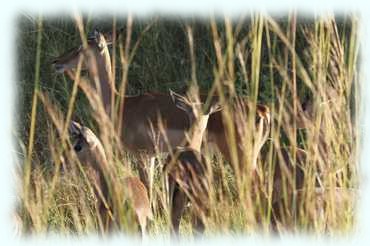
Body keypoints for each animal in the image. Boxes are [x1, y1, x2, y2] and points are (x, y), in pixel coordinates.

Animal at [52, 29, 270, 183]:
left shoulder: (142, 155)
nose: (56, 62)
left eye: (80, 47)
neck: (120, 103)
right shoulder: (153, 156)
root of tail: (262, 110)